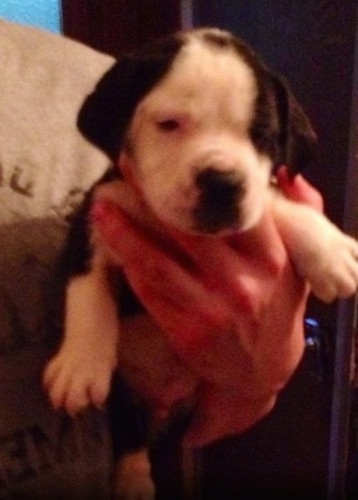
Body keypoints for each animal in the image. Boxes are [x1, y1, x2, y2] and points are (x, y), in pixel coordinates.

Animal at [43, 29, 358, 498]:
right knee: (130, 435)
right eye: (169, 124)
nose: (223, 182)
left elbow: (272, 204)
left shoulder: (256, 202)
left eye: (262, 134)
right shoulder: (97, 212)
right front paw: (80, 364)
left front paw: (330, 248)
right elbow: (87, 289)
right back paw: (132, 479)